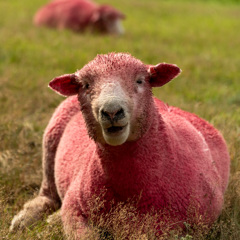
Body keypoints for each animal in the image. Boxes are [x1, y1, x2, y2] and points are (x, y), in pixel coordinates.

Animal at [10, 53, 230, 238]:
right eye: (86, 85)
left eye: (140, 80)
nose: (112, 111)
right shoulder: (75, 208)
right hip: (51, 138)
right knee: (48, 194)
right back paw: (27, 219)